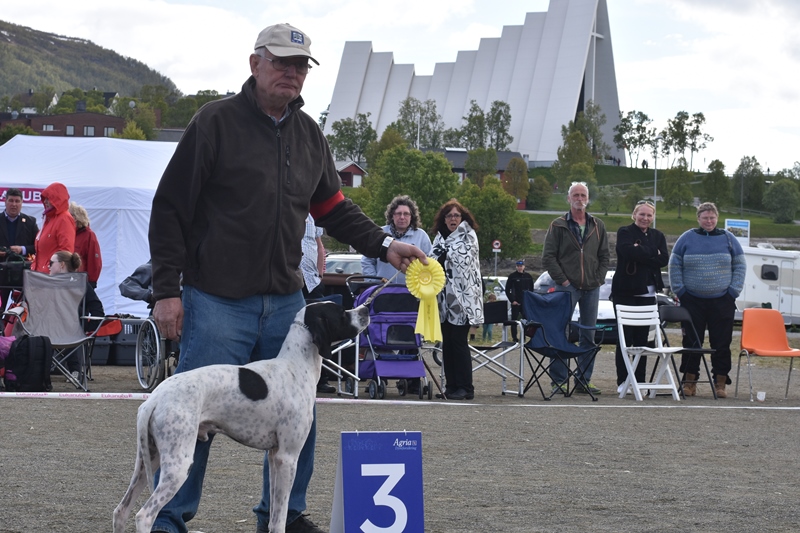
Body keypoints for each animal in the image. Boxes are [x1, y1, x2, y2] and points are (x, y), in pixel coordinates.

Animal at [114, 300, 370, 532]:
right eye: (341, 312)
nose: (366, 309)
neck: (295, 367)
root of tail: (155, 398)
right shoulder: (288, 457)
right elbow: (279, 519)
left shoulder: (275, 457)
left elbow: (273, 515)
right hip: (178, 465)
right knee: (144, 515)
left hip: (148, 459)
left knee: (121, 510)